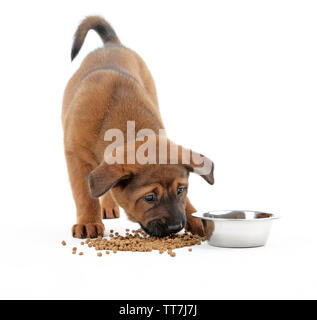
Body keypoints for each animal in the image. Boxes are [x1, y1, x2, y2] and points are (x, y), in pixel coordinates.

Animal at [62, 16, 214, 239]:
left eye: (180, 190)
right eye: (149, 198)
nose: (175, 227)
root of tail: (112, 44)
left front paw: (195, 216)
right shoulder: (76, 158)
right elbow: (85, 194)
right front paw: (88, 222)